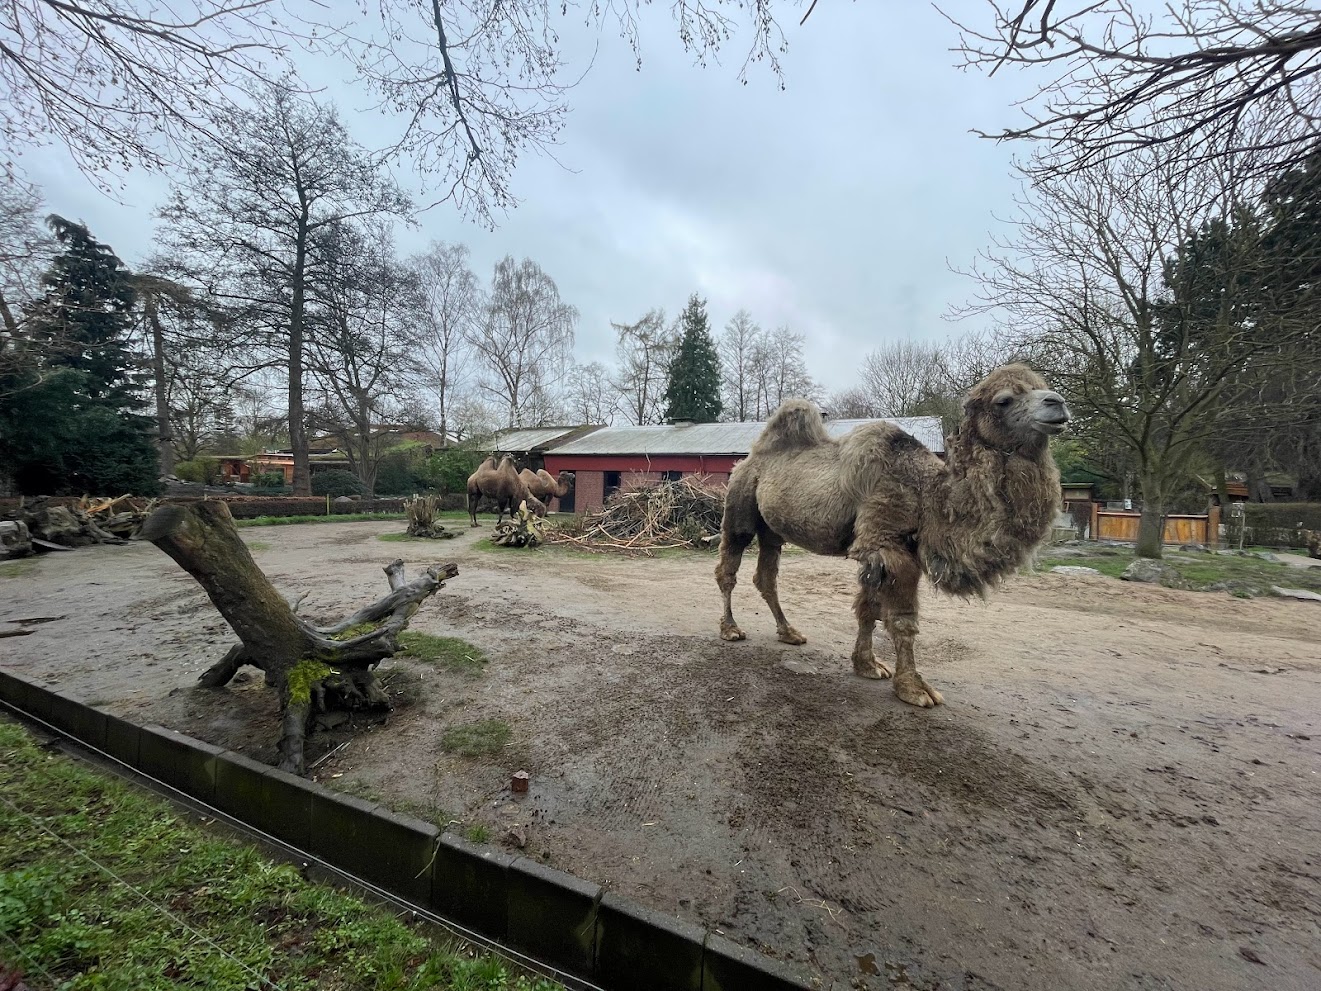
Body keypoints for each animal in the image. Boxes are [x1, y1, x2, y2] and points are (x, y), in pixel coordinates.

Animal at [715, 364, 1070, 708]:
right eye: (1004, 400)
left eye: (1042, 386)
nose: (1057, 403)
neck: (928, 492)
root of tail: (747, 459)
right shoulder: (886, 543)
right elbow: (901, 619)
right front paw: (914, 688)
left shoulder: (885, 549)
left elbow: (869, 608)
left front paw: (867, 665)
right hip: (740, 507)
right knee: (728, 568)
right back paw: (731, 629)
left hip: (772, 530)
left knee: (766, 576)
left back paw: (789, 632)